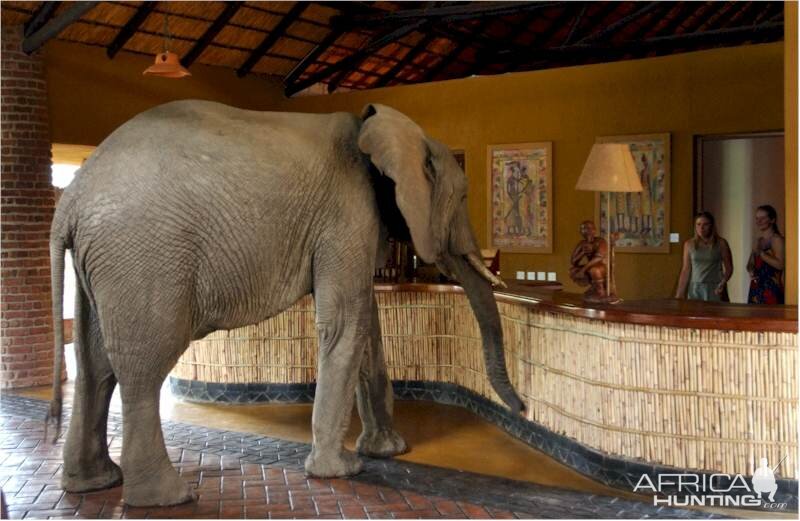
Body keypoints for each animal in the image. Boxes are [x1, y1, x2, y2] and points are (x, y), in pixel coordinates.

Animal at [47, 99, 528, 506]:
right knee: (142, 370)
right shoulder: (348, 214)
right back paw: (168, 498)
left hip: (102, 267)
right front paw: (343, 471)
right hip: (144, 259)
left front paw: (388, 451)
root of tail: (69, 203)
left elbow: (365, 326)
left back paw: (94, 482)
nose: (523, 407)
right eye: (463, 196)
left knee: (95, 366)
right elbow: (345, 322)